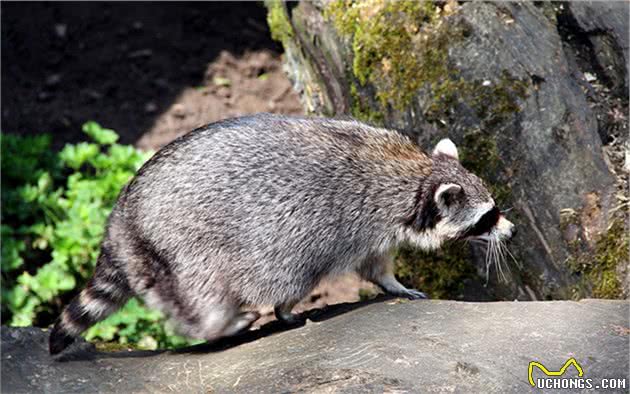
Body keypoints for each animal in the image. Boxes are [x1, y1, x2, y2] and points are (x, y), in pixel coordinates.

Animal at [48, 113, 512, 354]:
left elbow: (375, 266)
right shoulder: (351, 223)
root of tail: (122, 218)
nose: (510, 229)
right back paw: (218, 323)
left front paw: (393, 283)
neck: (417, 177)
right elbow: (296, 274)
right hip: (185, 243)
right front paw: (286, 309)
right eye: (487, 217)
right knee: (207, 291)